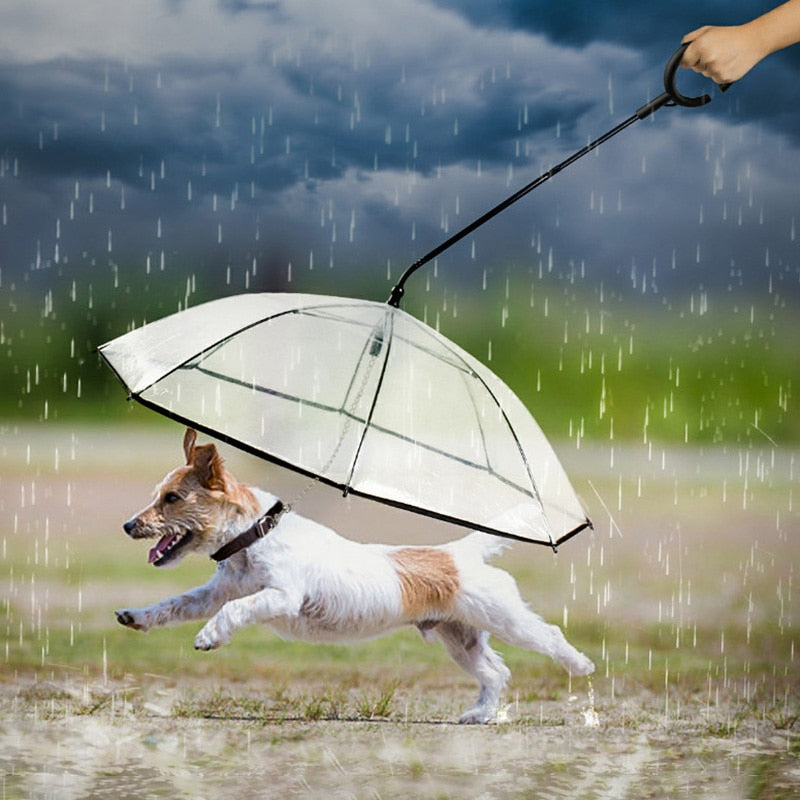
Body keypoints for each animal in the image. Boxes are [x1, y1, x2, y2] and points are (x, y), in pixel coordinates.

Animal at [117, 432, 592, 724]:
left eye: (172, 498)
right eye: (159, 495)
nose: (127, 525)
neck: (255, 537)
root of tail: (460, 553)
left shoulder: (280, 595)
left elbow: (236, 610)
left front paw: (208, 636)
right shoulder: (213, 593)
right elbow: (174, 605)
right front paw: (136, 616)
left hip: (506, 619)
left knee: (548, 637)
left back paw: (580, 664)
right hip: (460, 638)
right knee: (494, 672)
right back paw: (480, 714)